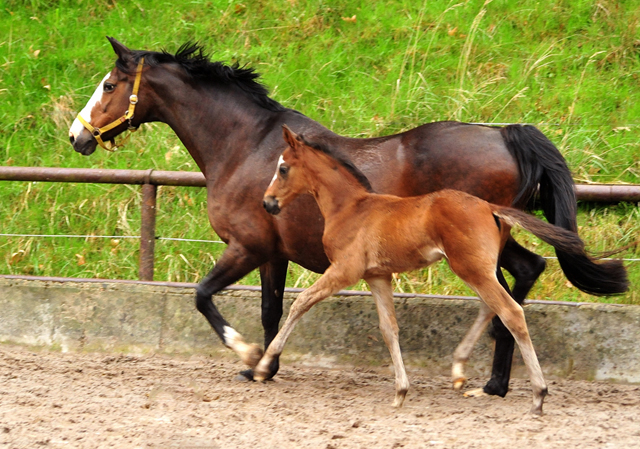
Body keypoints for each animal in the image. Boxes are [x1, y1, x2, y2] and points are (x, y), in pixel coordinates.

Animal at [256, 126, 600, 412]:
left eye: (283, 168)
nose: (268, 203)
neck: (351, 208)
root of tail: (489, 207)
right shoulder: (377, 275)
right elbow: (389, 328)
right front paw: (400, 392)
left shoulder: (344, 270)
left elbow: (300, 302)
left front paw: (263, 365)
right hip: (476, 268)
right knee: (493, 307)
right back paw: (460, 370)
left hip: (470, 268)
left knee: (511, 312)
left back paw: (538, 394)